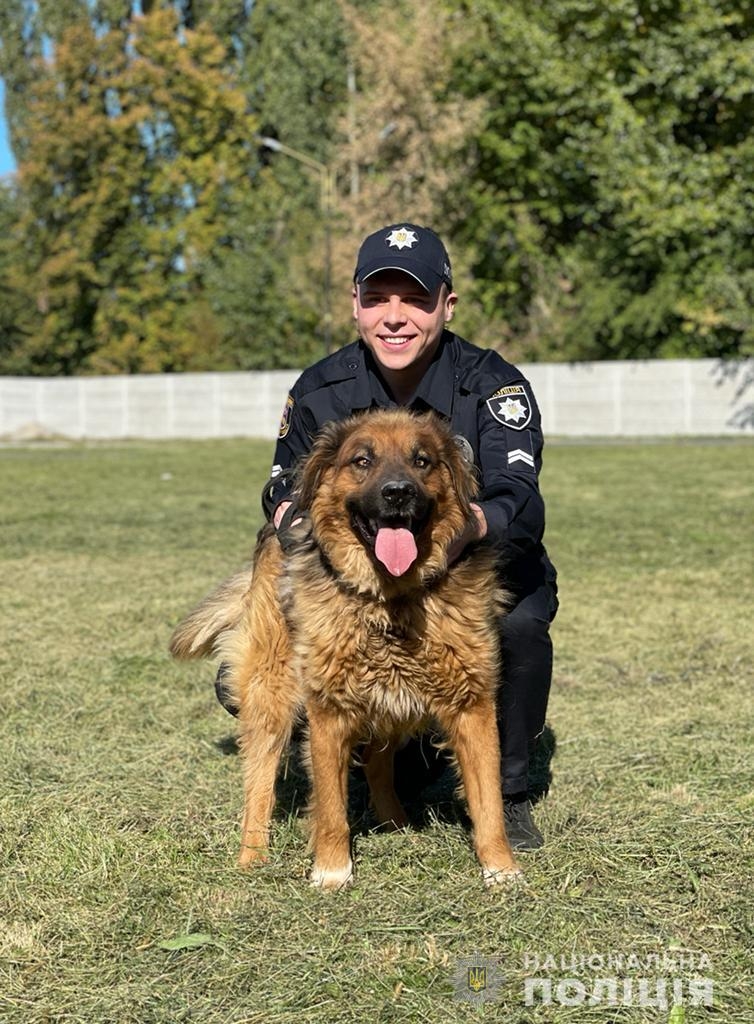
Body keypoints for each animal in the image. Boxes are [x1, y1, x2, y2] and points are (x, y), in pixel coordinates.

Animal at [170, 407, 518, 888]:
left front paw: (502, 869)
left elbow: (489, 804)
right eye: (362, 461)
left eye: (423, 461)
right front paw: (332, 871)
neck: (389, 599)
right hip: (271, 692)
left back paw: (396, 824)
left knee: (376, 763)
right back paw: (253, 855)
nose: (397, 493)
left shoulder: (473, 706)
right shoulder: (329, 711)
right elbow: (333, 809)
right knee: (259, 779)